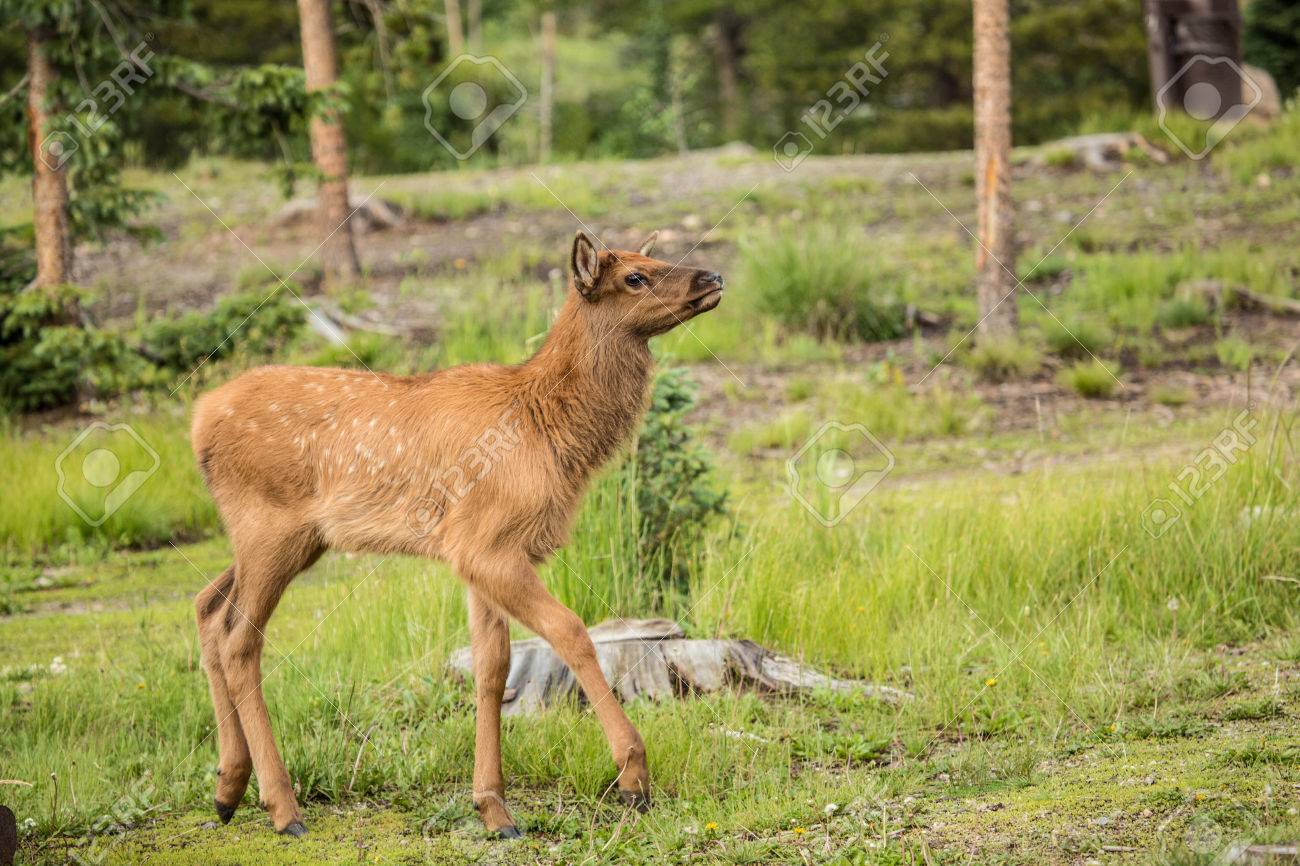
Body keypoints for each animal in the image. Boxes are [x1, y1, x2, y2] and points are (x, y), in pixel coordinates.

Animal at [190, 229, 724, 838]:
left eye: (651, 259)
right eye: (635, 276)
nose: (713, 277)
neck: (550, 432)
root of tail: (197, 422)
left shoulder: (477, 552)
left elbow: (492, 668)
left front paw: (493, 807)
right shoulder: (487, 544)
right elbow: (571, 632)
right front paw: (634, 776)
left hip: (284, 539)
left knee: (208, 607)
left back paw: (228, 790)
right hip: (269, 527)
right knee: (240, 642)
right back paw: (283, 807)